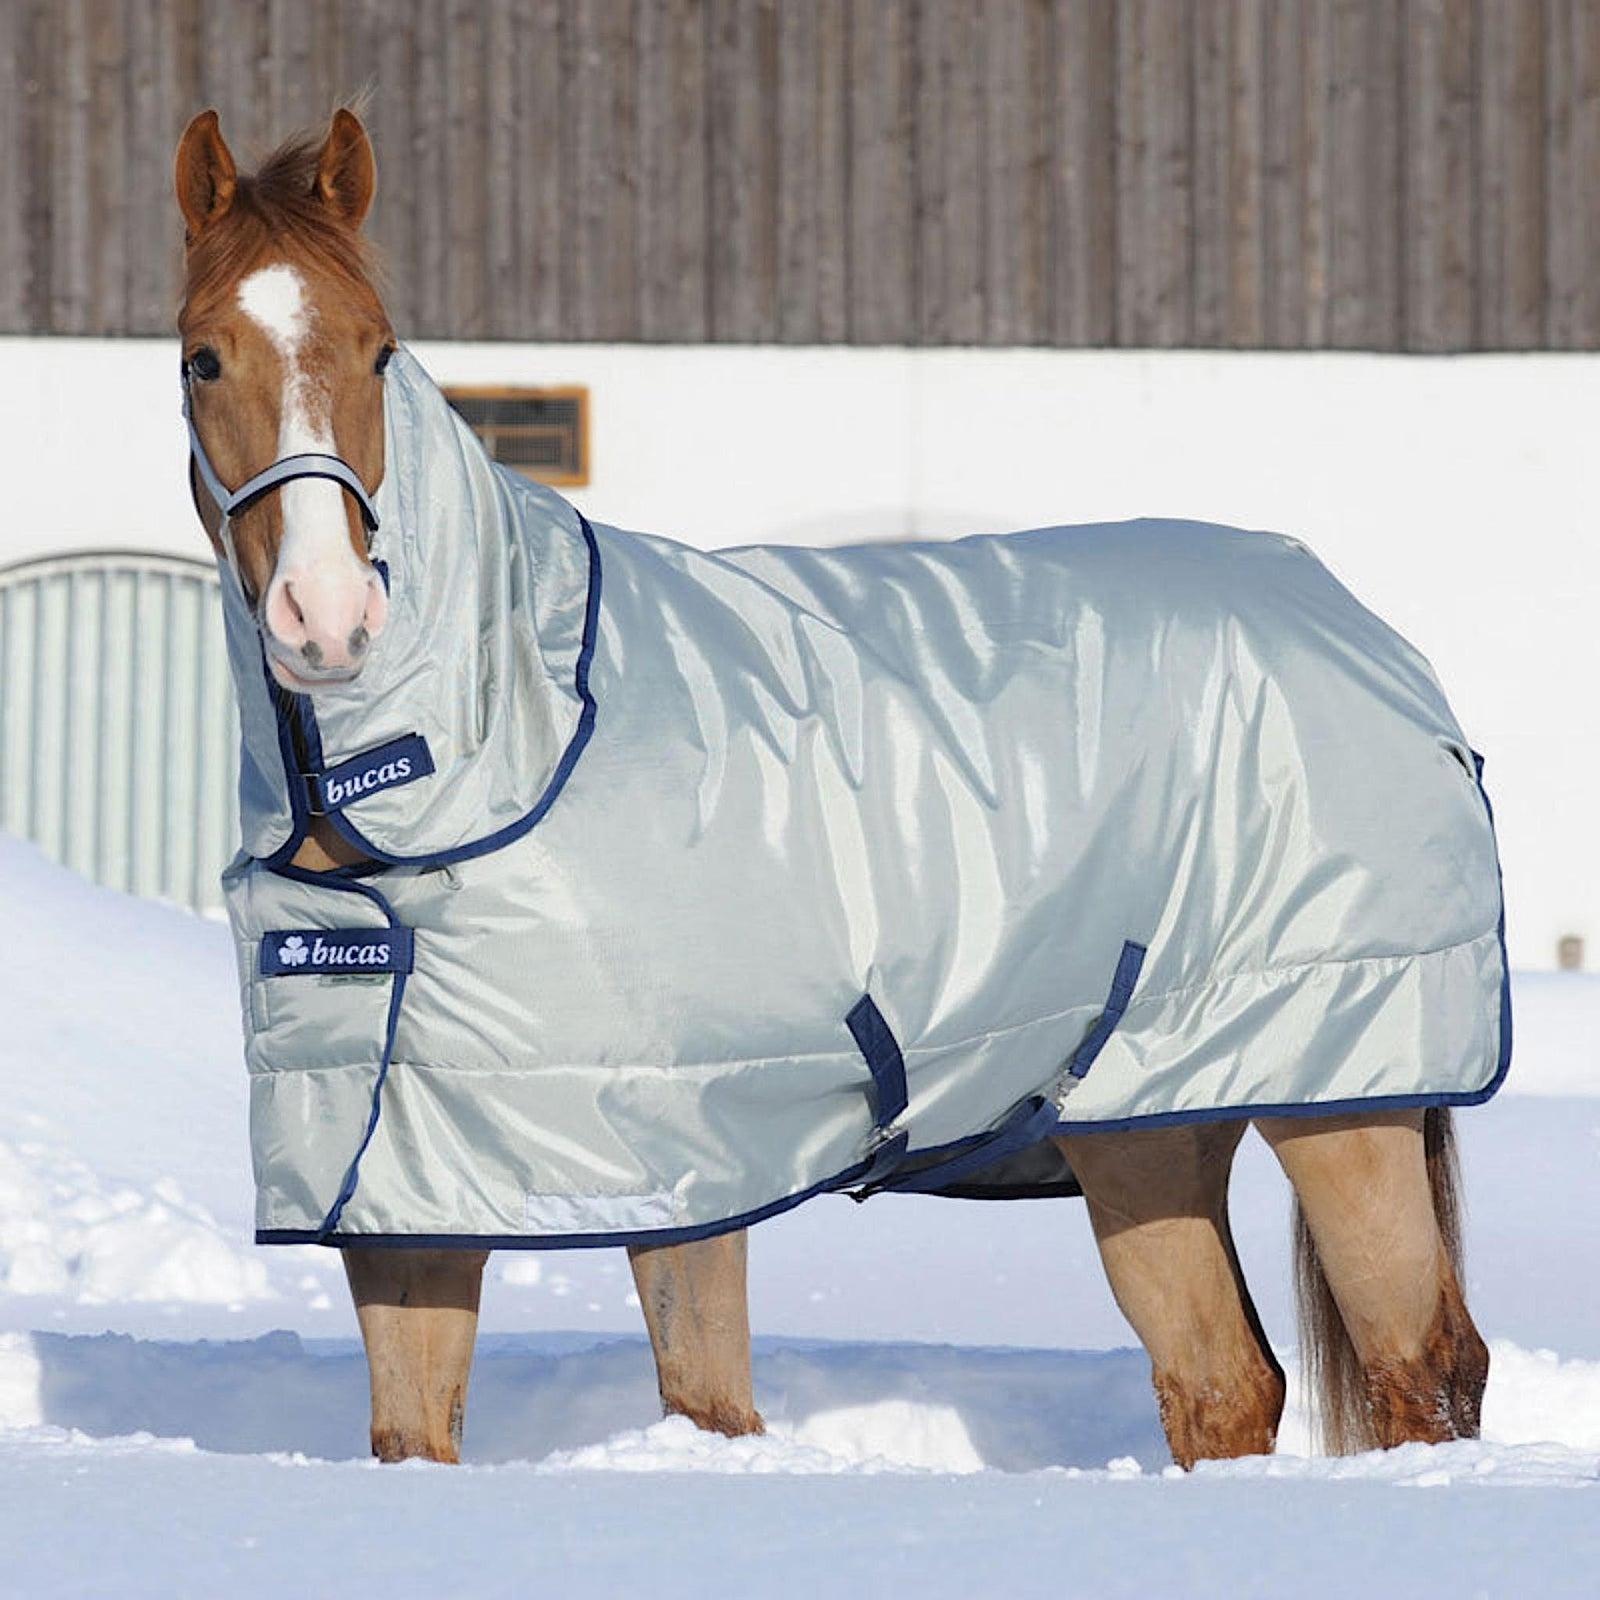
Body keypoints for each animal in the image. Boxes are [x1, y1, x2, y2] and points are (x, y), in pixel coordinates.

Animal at [175, 107, 1497, 1470]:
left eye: (379, 351)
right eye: (202, 360)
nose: (329, 619)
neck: (509, 740)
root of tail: (1364, 627)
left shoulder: (688, 1158)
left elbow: (712, 1405)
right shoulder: (400, 1184)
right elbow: (413, 1432)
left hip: (1342, 1095)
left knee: (1418, 1368)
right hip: (1145, 1114)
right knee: (1221, 1382)